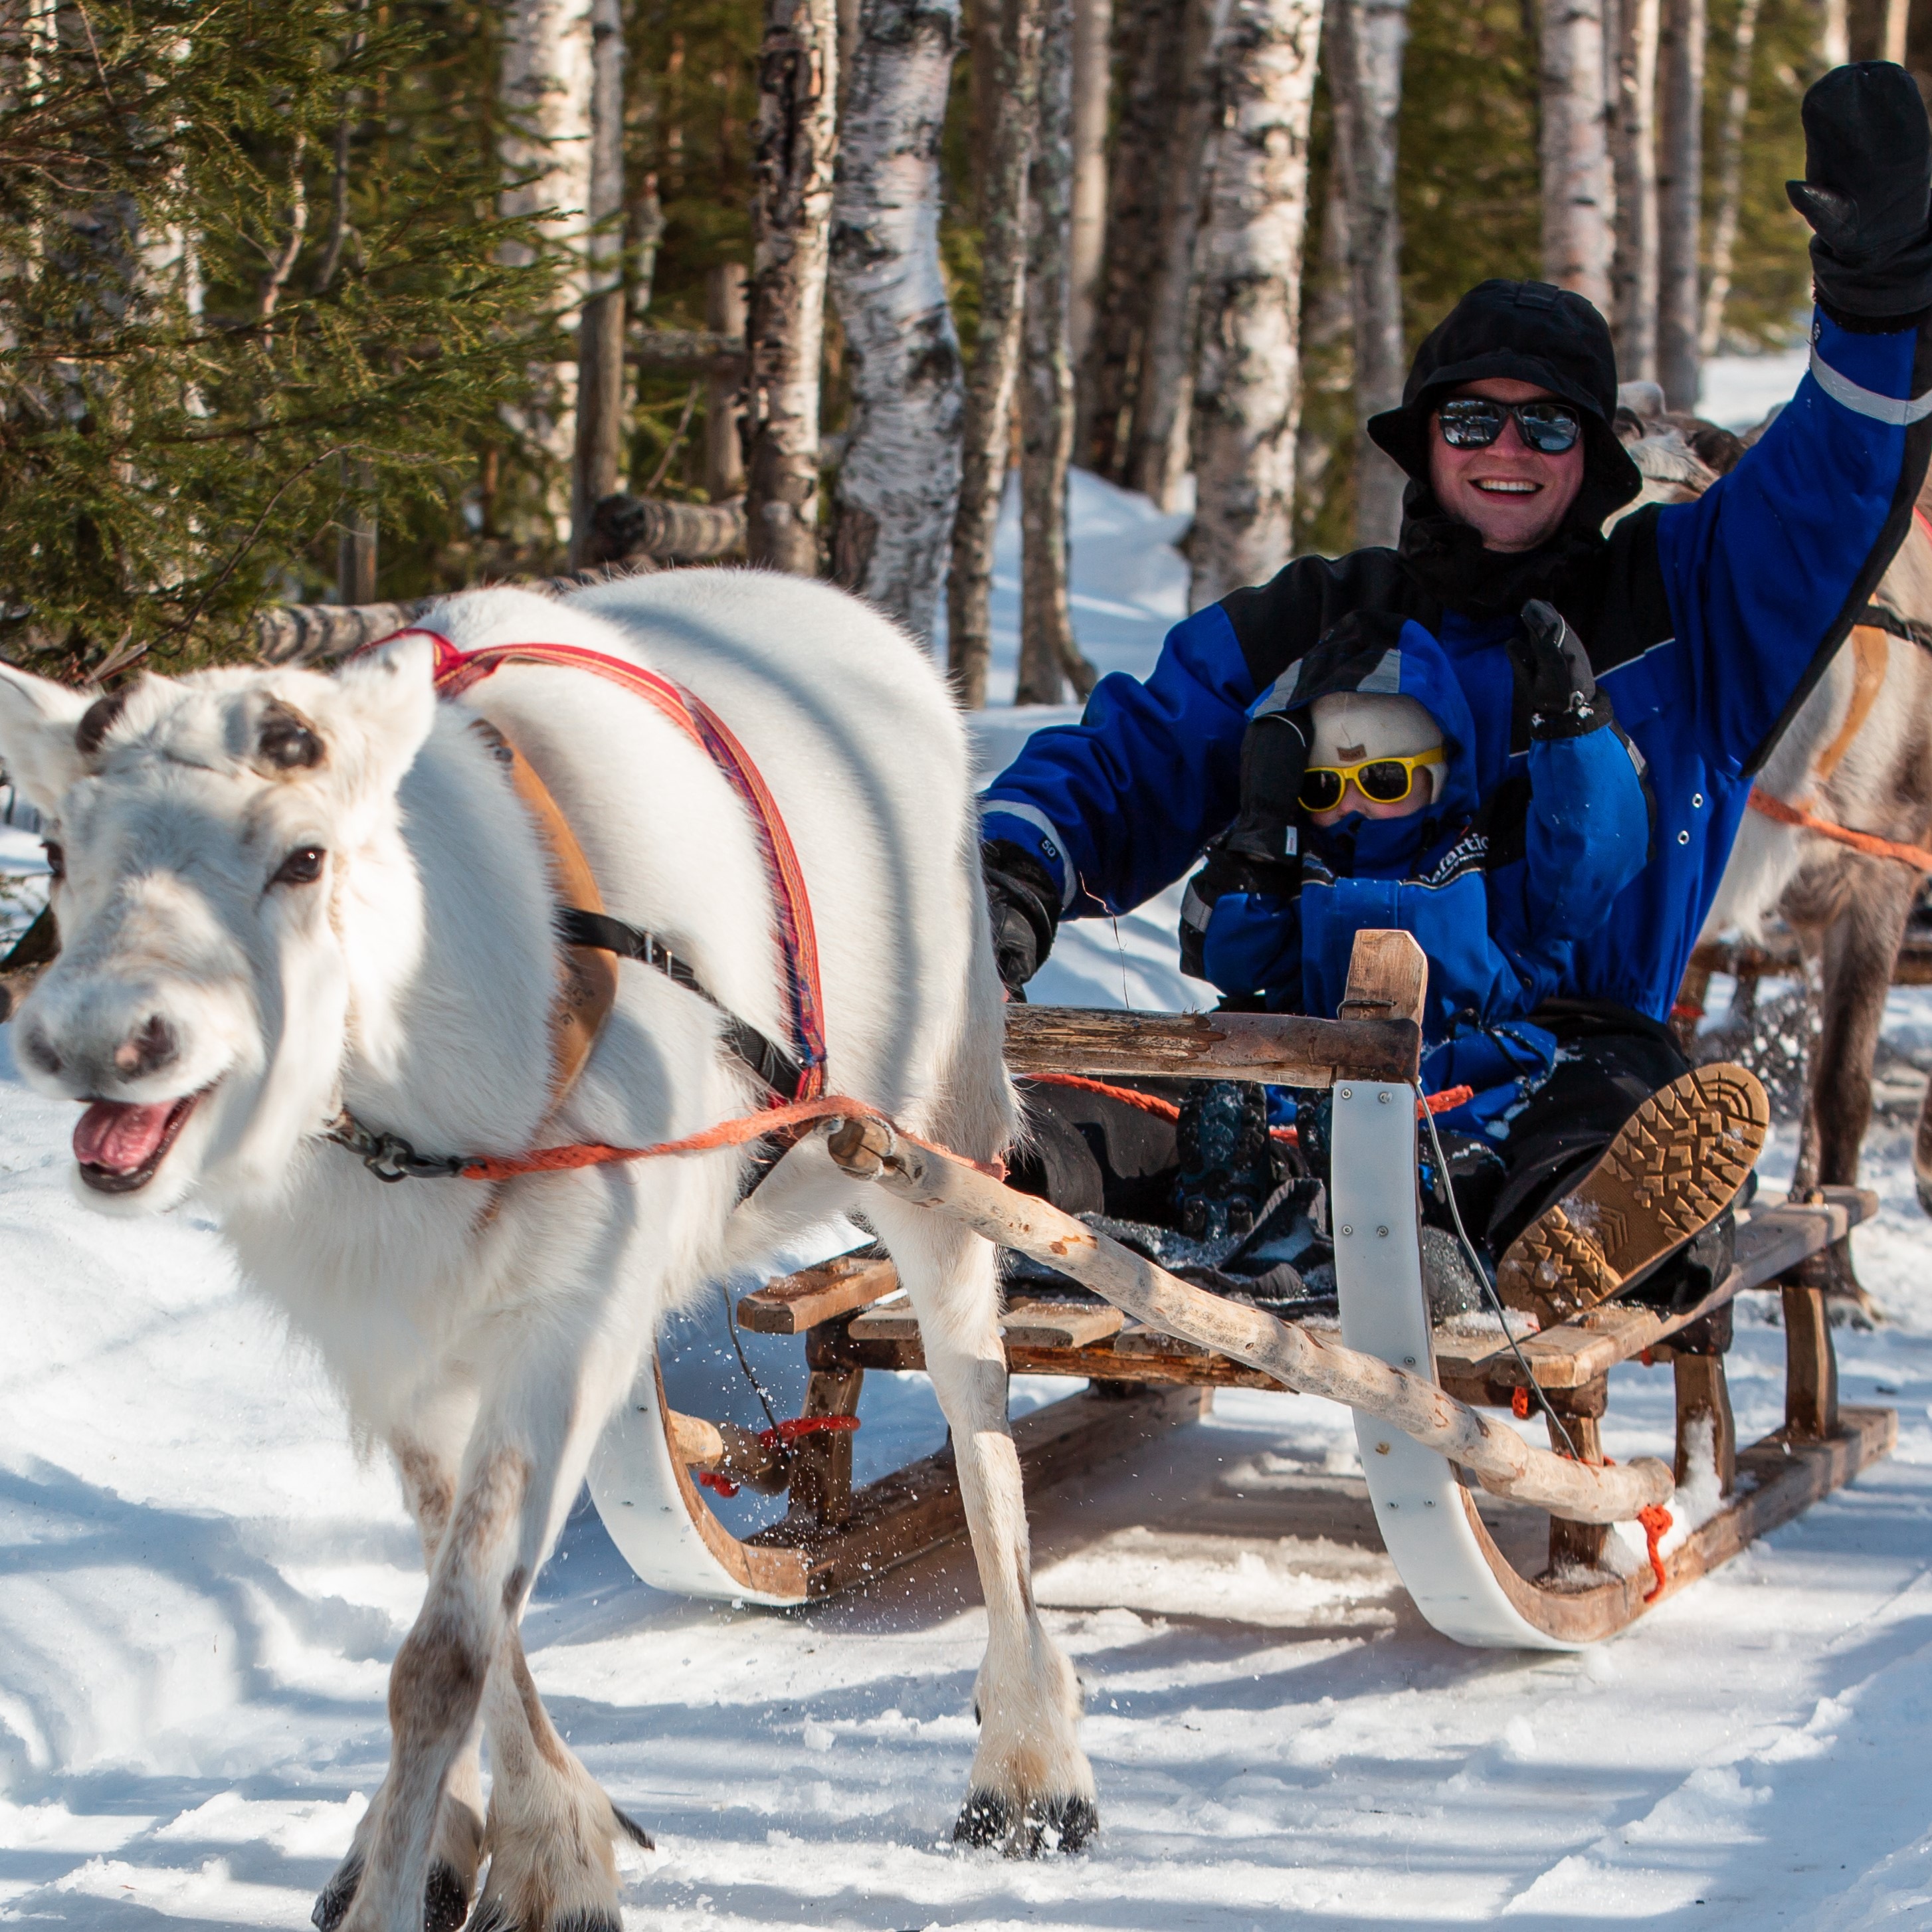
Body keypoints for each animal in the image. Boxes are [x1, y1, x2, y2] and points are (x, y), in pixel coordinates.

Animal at [0, 571, 1096, 1932]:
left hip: (930, 1153)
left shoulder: (568, 1316)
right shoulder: (397, 1347)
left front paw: (472, 1869)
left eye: (304, 855)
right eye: (57, 847)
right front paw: (512, 1845)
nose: (98, 1040)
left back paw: (1030, 1761)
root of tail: (872, 629)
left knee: (979, 1421)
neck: (419, 1091)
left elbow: (444, 1655)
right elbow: (464, 1620)